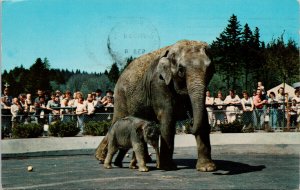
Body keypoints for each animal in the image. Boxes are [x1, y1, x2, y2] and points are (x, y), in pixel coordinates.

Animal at [96, 39, 216, 171]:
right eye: (181, 70)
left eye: (210, 69)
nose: (190, 123)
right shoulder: (158, 83)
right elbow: (167, 118)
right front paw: (167, 167)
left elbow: (203, 118)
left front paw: (207, 168)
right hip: (121, 97)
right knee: (117, 120)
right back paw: (99, 158)